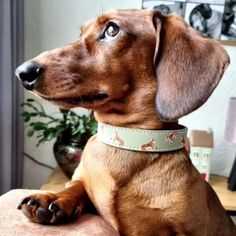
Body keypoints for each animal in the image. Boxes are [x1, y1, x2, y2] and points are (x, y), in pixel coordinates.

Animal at [15, 9, 235, 236]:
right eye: (81, 33)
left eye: (112, 29)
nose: (22, 72)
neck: (127, 139)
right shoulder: (82, 181)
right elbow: (76, 185)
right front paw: (55, 198)